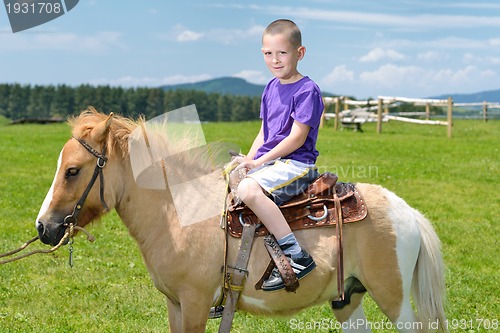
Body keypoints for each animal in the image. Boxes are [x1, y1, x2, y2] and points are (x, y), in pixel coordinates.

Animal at [36, 107, 450, 330]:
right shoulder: (175, 305)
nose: (43, 227)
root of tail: (407, 212)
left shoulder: (196, 303)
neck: (178, 213)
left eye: (72, 171)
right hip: (348, 299)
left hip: (393, 298)